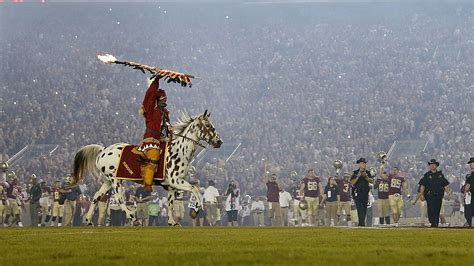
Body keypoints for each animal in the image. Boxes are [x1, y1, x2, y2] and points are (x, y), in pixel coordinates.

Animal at [71, 109, 222, 225]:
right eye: (208, 125)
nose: (219, 141)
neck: (179, 151)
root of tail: (103, 150)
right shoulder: (176, 181)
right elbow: (195, 189)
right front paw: (196, 210)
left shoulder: (172, 186)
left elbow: (170, 204)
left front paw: (172, 221)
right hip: (116, 181)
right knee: (120, 199)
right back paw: (133, 218)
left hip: (108, 182)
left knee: (96, 196)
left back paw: (88, 220)